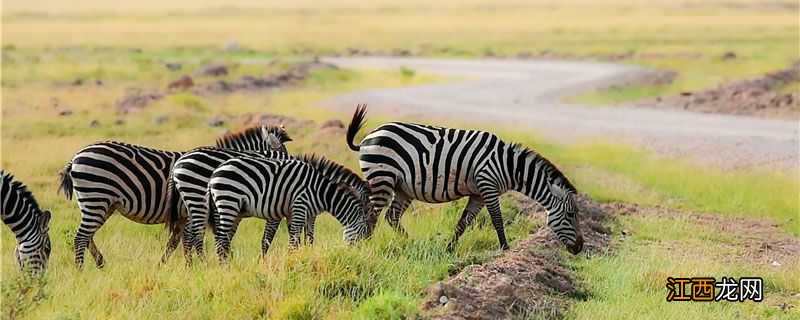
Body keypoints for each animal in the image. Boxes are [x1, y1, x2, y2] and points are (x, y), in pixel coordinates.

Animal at [58, 124, 290, 268]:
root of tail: (76, 156)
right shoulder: (195, 212)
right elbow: (197, 239)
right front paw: (201, 266)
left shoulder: (183, 217)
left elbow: (174, 243)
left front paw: (164, 267)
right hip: (96, 198)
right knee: (81, 237)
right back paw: (81, 271)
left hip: (102, 204)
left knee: (87, 236)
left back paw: (100, 263)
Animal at [172, 146, 372, 264]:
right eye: (364, 232)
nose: (357, 255)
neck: (319, 189)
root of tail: (179, 162)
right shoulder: (294, 206)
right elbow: (284, 239)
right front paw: (290, 262)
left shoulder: (295, 212)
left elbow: (303, 237)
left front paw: (301, 256)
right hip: (208, 200)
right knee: (203, 235)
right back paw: (209, 265)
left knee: (194, 233)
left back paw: (194, 265)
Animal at [342, 106, 580, 254]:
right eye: (571, 215)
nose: (580, 248)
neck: (509, 166)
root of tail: (368, 136)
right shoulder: (487, 184)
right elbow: (497, 219)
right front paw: (505, 248)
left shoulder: (478, 193)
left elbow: (463, 222)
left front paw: (449, 248)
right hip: (382, 178)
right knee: (371, 215)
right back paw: (365, 246)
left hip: (402, 187)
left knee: (391, 216)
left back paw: (413, 243)